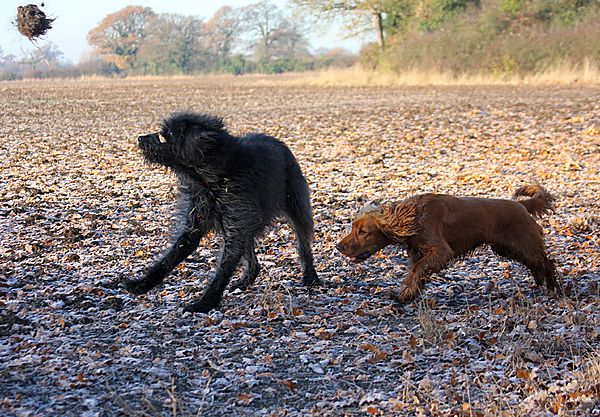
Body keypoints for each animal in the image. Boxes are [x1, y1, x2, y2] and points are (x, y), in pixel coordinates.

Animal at [125, 111, 322, 312]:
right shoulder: (195, 228)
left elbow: (223, 269)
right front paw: (142, 284)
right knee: (254, 262)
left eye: (166, 136)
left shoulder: (236, 226)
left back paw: (310, 277)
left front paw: (205, 303)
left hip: (297, 210)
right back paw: (244, 282)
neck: (214, 176)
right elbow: (170, 257)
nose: (139, 138)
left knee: (303, 244)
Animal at [336, 185, 560, 302]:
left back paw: (553, 288)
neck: (412, 216)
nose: (339, 247)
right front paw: (409, 294)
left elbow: (417, 270)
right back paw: (540, 281)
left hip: (521, 243)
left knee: (546, 262)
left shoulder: (441, 251)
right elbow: (416, 273)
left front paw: (404, 294)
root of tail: (521, 205)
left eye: (363, 231)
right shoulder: (420, 252)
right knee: (537, 263)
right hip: (508, 248)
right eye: (353, 227)